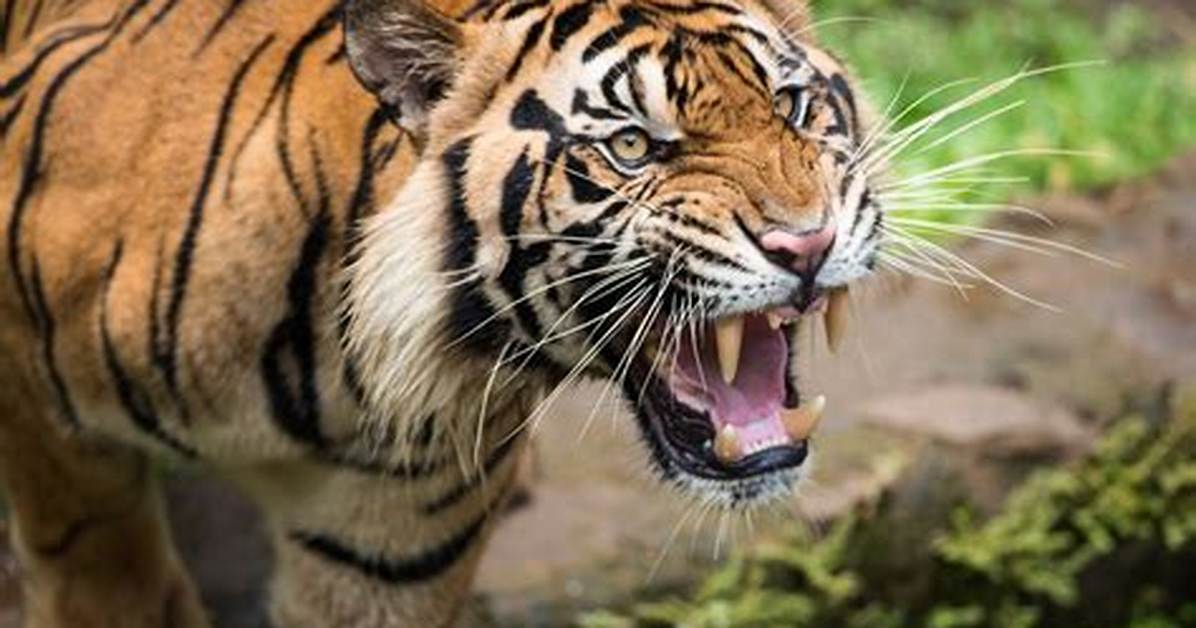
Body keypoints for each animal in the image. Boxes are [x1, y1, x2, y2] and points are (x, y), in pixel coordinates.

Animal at [0, 0, 884, 624]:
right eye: (631, 146)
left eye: (793, 107)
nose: (806, 243)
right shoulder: (45, 420)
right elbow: (105, 578)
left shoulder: (384, 549)